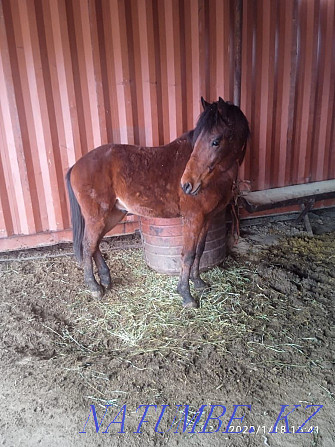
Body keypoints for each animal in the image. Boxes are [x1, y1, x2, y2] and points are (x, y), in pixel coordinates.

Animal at [66, 97, 249, 308]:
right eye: (199, 141)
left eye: (216, 141)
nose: (187, 185)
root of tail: (76, 165)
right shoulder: (193, 218)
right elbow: (188, 254)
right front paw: (186, 295)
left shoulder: (208, 218)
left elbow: (200, 250)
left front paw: (198, 283)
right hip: (97, 216)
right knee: (88, 245)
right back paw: (94, 287)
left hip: (112, 214)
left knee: (94, 244)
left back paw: (104, 279)